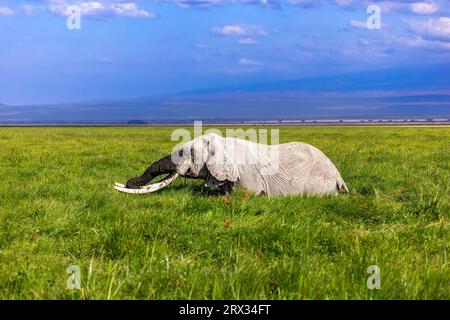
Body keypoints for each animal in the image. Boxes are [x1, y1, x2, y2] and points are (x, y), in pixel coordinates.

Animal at [114, 133, 350, 198]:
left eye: (188, 153)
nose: (127, 183)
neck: (222, 142)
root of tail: (339, 176)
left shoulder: (247, 174)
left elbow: (249, 192)